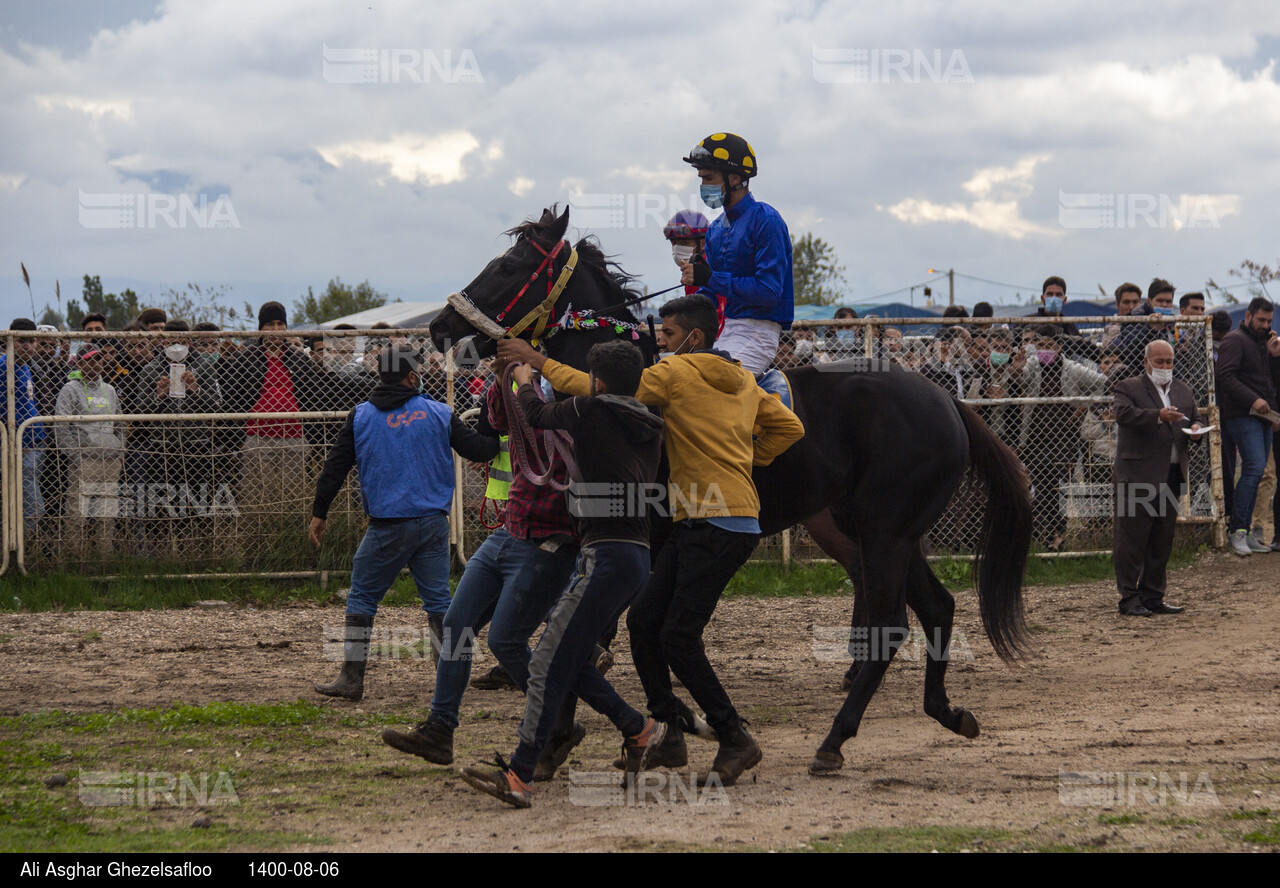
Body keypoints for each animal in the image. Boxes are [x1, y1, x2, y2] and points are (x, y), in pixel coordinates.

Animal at [427, 204, 1029, 777]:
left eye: (510, 266)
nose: (439, 327)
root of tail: (946, 400)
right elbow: (582, 634)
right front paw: (582, 736)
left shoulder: (640, 537)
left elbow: (595, 635)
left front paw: (582, 735)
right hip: (881, 531)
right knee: (938, 607)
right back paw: (945, 710)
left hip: (885, 533)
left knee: (893, 624)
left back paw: (835, 739)